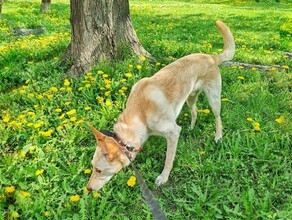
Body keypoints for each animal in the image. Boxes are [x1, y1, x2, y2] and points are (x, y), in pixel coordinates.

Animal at [86, 20, 235, 191]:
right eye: (92, 167)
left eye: (99, 170)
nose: (88, 189)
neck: (140, 114)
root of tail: (210, 56)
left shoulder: (173, 133)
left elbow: (168, 160)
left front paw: (163, 177)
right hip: (190, 97)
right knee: (195, 111)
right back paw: (191, 128)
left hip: (213, 98)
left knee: (217, 118)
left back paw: (218, 136)